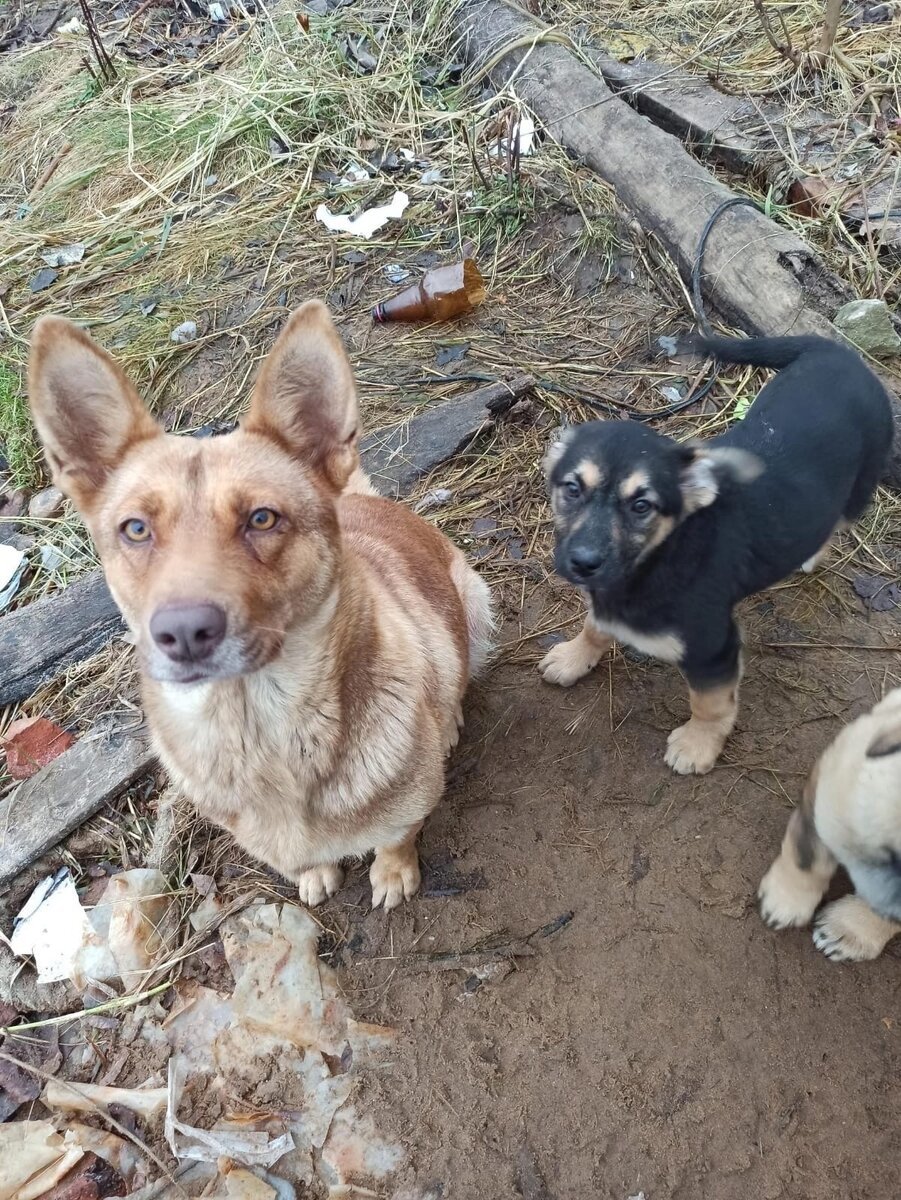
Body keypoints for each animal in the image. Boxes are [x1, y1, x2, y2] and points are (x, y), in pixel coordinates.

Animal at [29, 300, 494, 907]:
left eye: (262, 518)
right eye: (135, 529)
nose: (184, 633)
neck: (258, 726)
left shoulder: (409, 801)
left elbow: (398, 833)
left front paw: (393, 870)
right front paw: (314, 872)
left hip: (475, 603)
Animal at [539, 333, 892, 772]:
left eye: (642, 506)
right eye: (572, 488)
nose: (583, 563)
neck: (661, 557)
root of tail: (838, 350)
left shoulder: (712, 648)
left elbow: (709, 704)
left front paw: (698, 744)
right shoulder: (608, 602)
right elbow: (594, 627)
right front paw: (573, 657)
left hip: (858, 488)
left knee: (838, 521)